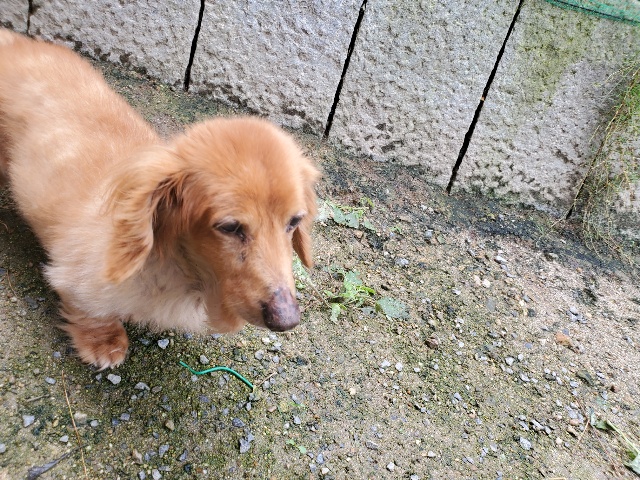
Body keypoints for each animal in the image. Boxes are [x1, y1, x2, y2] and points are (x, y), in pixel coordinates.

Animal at [0, 29, 319, 369]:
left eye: (294, 221)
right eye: (230, 227)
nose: (287, 320)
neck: (179, 269)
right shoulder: (76, 277)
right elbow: (89, 310)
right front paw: (104, 341)